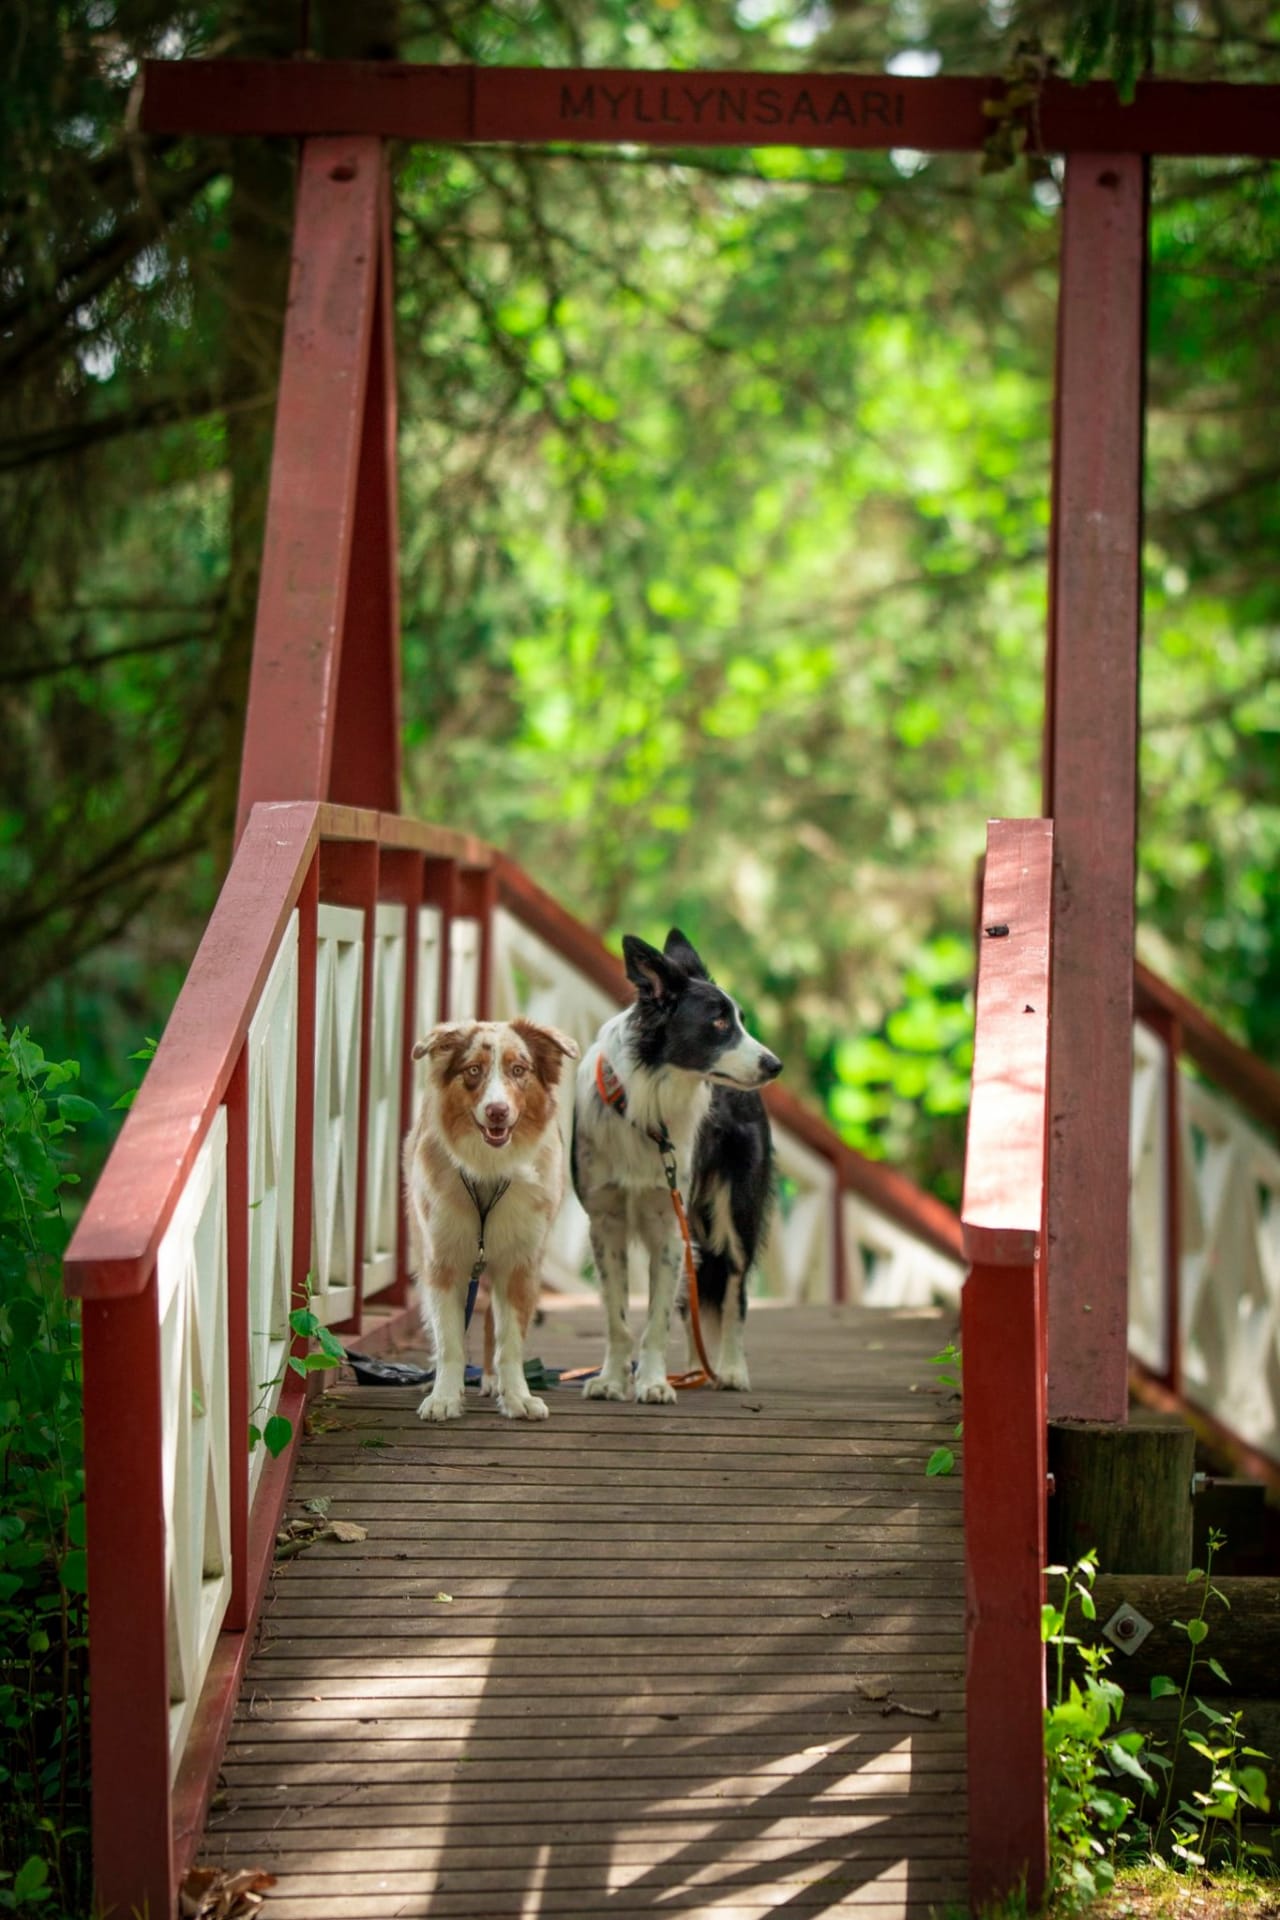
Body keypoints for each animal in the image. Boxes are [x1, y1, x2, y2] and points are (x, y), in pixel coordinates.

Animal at [402, 1013, 579, 1420]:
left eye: (519, 1070)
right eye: (473, 1070)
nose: (497, 1111)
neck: (488, 1169)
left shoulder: (521, 1261)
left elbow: (509, 1339)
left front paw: (517, 1397)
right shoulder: (442, 1259)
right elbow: (449, 1337)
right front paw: (444, 1396)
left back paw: (491, 1380)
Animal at [571, 921, 782, 1405]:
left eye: (740, 1021)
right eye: (719, 1022)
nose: (775, 1064)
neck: (648, 1103)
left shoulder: (668, 1224)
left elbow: (656, 1320)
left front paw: (652, 1382)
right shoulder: (605, 1222)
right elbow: (618, 1318)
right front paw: (612, 1380)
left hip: (734, 1212)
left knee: (735, 1293)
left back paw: (729, 1369)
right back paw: (694, 1369)